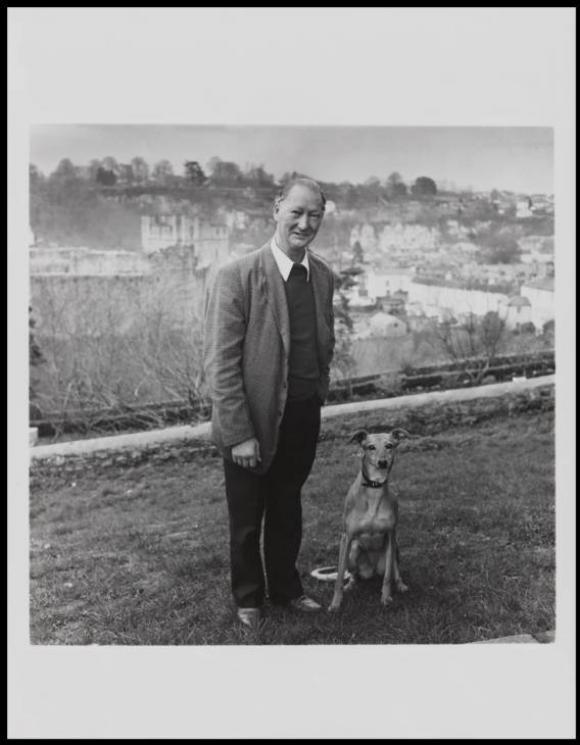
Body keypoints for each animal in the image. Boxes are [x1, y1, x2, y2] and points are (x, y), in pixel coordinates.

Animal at [328, 428, 410, 612]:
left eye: (389, 446)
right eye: (370, 447)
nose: (382, 462)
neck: (374, 488)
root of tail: (370, 571)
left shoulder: (390, 535)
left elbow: (388, 576)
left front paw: (386, 598)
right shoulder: (347, 537)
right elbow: (339, 576)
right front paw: (335, 603)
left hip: (394, 551)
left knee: (394, 571)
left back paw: (400, 585)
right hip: (353, 552)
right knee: (353, 573)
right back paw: (351, 584)